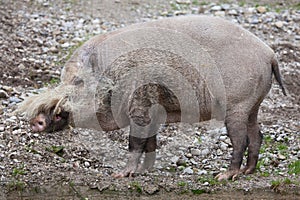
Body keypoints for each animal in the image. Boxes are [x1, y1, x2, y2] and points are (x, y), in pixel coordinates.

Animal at [17, 16, 286, 181]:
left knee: (241, 139)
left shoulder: (140, 106)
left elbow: (135, 142)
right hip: (252, 104)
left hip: (237, 105)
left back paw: (225, 176)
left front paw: (120, 175)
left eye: (77, 81)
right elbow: (150, 142)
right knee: (257, 134)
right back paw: (249, 172)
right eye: (63, 79)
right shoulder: (152, 112)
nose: (36, 120)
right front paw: (146, 170)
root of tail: (269, 53)